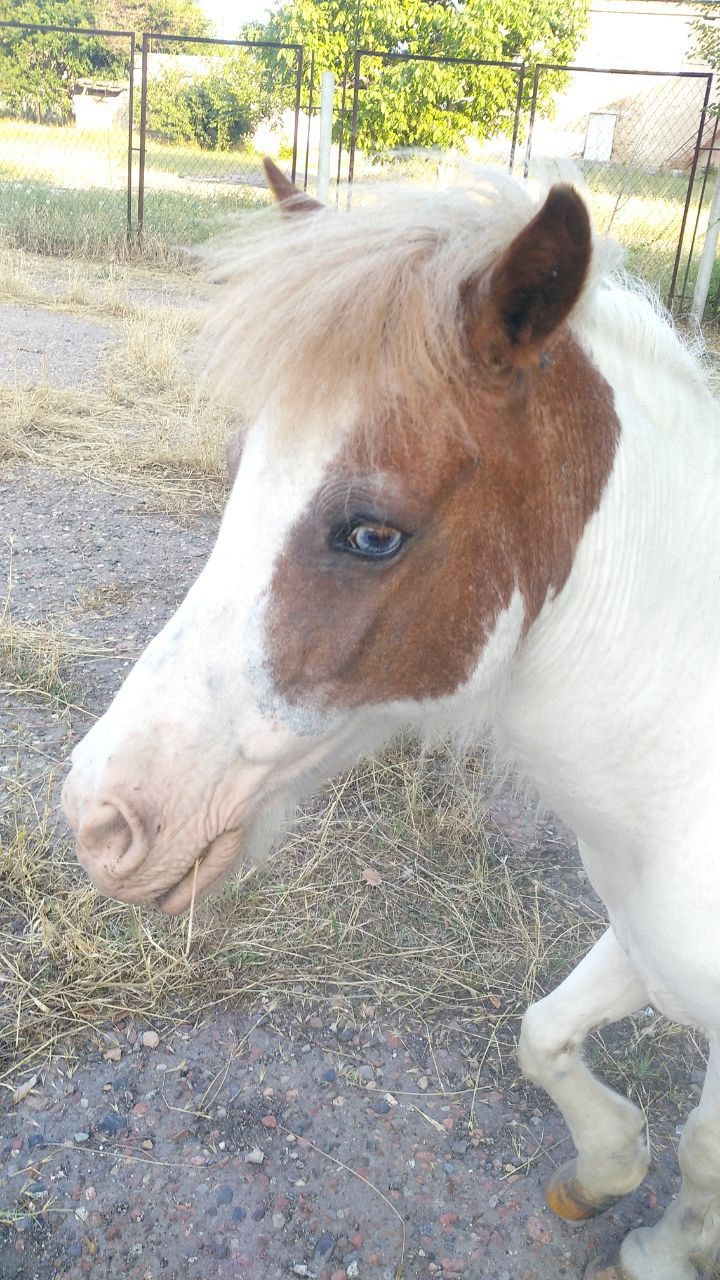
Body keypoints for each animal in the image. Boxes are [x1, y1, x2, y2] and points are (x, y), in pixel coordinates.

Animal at [60, 160, 717, 1280]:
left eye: (372, 534)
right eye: (238, 471)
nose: (99, 820)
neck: (684, 768)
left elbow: (703, 1152)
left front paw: (663, 1250)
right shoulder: (641, 939)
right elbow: (545, 1035)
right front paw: (609, 1176)